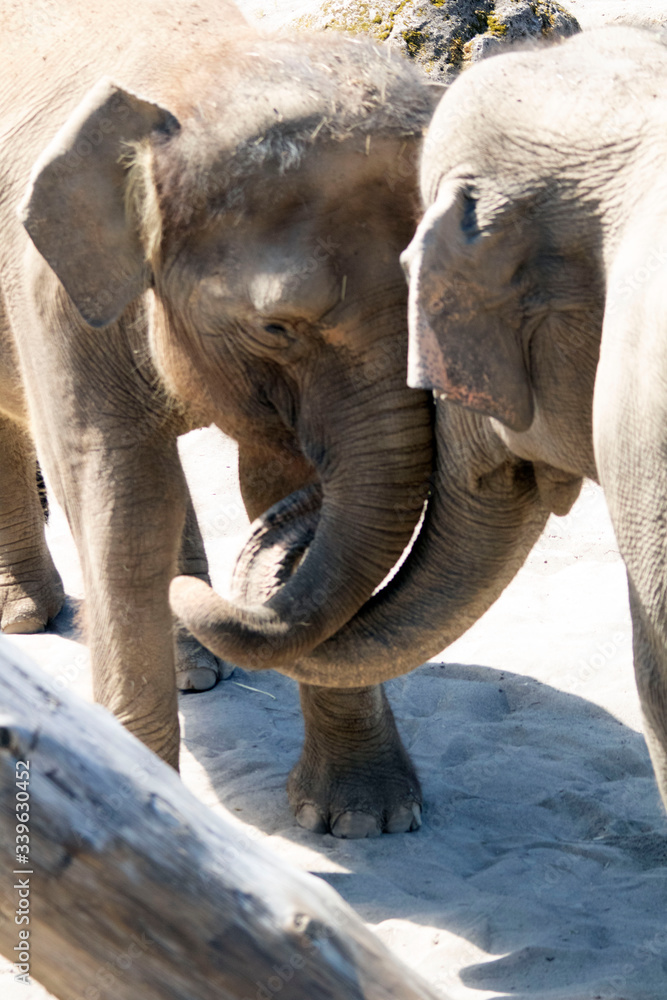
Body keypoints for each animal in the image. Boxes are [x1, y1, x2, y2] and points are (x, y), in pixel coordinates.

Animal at [1, 0, 438, 832]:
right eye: (274, 327)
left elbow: (267, 481)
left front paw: (364, 822)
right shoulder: (50, 292)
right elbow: (124, 503)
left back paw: (191, 665)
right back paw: (25, 623)